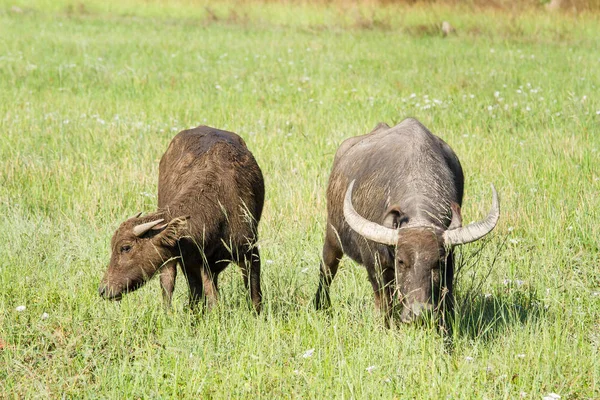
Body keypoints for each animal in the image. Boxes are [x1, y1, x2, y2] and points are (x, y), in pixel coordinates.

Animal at [99, 125, 264, 312]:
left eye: (125, 248)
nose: (104, 290)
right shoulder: (196, 263)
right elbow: (209, 297)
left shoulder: (250, 252)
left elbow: (254, 295)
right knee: (169, 281)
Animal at [316, 118, 500, 324]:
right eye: (402, 261)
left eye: (437, 262)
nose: (419, 313)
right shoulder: (375, 265)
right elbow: (384, 303)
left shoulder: (450, 262)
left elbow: (447, 300)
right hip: (332, 236)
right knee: (327, 269)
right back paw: (321, 306)